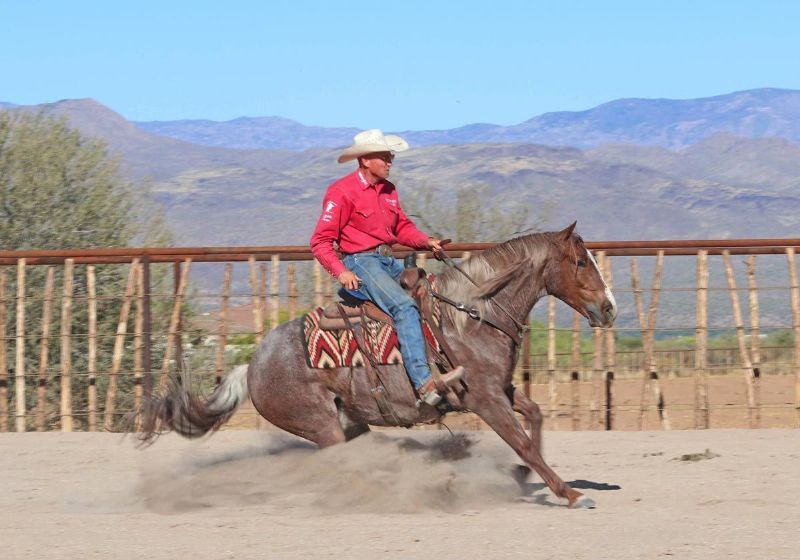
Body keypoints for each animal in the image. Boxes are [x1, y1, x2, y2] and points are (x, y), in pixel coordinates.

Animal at [138, 222, 617, 508]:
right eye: (580, 261)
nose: (609, 309)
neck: (472, 313)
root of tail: (252, 365)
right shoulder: (483, 398)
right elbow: (521, 442)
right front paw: (570, 493)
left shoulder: (499, 389)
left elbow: (534, 417)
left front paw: (523, 475)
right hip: (321, 426)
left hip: (350, 421)